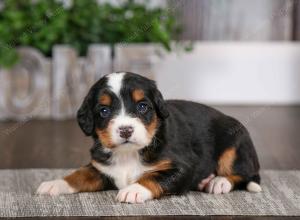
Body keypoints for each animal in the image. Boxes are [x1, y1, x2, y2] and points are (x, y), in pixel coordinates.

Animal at [37, 72, 262, 203]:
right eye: (104, 111)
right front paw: (55, 184)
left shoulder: (183, 167)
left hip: (235, 145)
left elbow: (154, 176)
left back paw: (219, 182)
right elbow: (79, 175)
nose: (125, 130)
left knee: (245, 174)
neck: (128, 154)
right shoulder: (101, 169)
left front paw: (134, 189)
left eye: (142, 106)